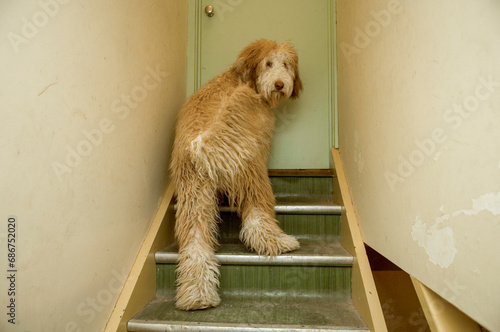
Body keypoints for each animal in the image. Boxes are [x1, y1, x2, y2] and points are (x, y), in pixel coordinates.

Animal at [172, 39, 302, 312]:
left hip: (193, 195)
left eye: (285, 64)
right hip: (251, 172)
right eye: (269, 63)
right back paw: (279, 242)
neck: (244, 80)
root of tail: (199, 142)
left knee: (195, 243)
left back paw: (198, 296)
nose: (279, 84)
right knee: (257, 215)